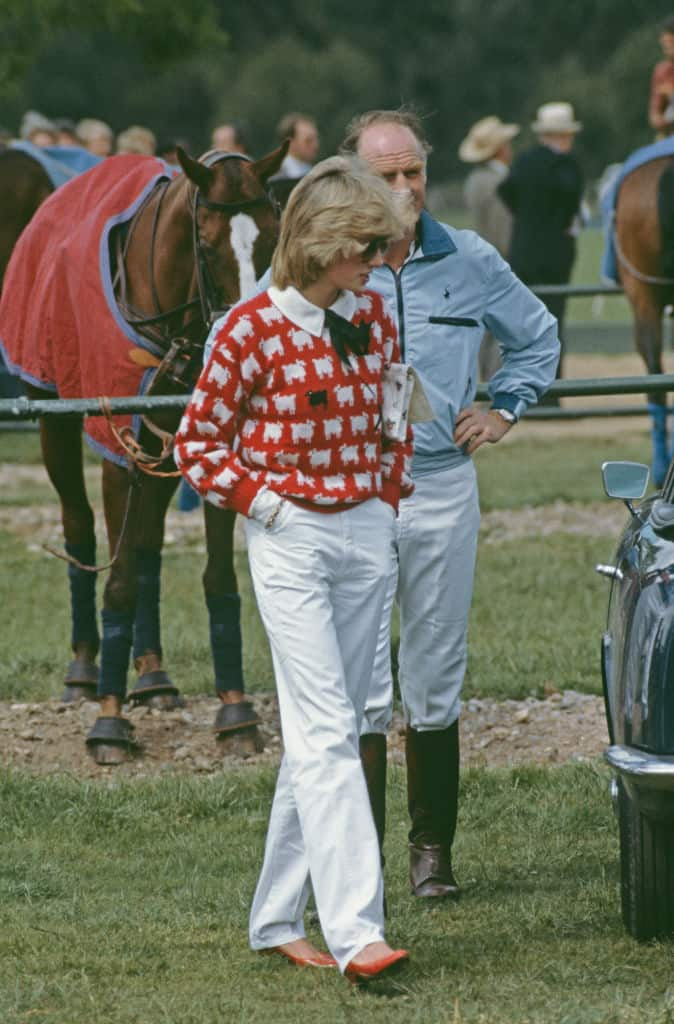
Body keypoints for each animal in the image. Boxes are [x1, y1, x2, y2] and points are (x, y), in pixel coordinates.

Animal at [0, 148, 286, 765]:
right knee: (80, 524)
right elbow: (120, 578)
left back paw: (153, 676)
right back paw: (84, 671)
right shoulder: (118, 449)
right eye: (206, 245)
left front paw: (235, 711)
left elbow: (214, 575)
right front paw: (108, 724)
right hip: (55, 420)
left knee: (148, 540)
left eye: (273, 238)